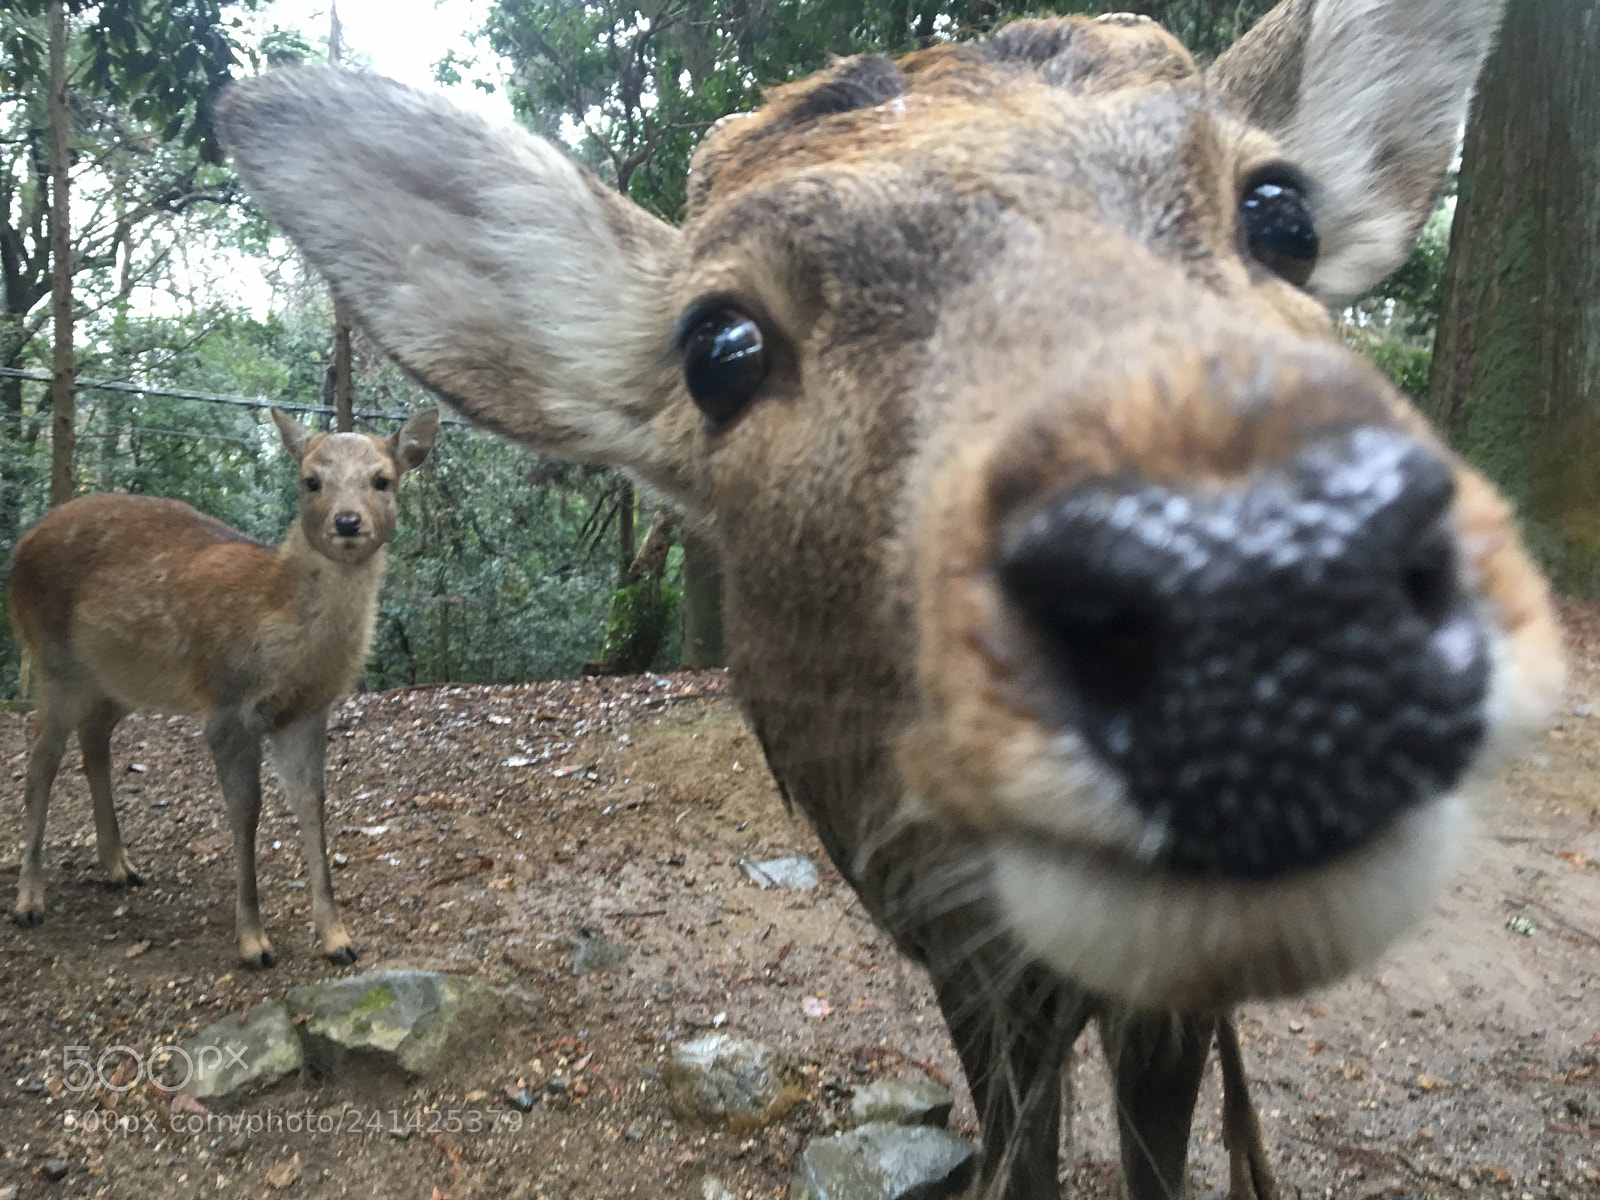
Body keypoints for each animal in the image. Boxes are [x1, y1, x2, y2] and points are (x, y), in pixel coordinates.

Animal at [9, 407, 438, 969]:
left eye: (382, 479)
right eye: (311, 480)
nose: (347, 522)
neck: (276, 624)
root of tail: (20, 548)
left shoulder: (308, 711)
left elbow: (313, 804)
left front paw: (338, 938)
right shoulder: (227, 707)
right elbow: (246, 811)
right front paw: (254, 943)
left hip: (119, 680)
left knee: (93, 738)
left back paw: (119, 866)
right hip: (56, 661)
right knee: (40, 757)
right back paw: (29, 900)